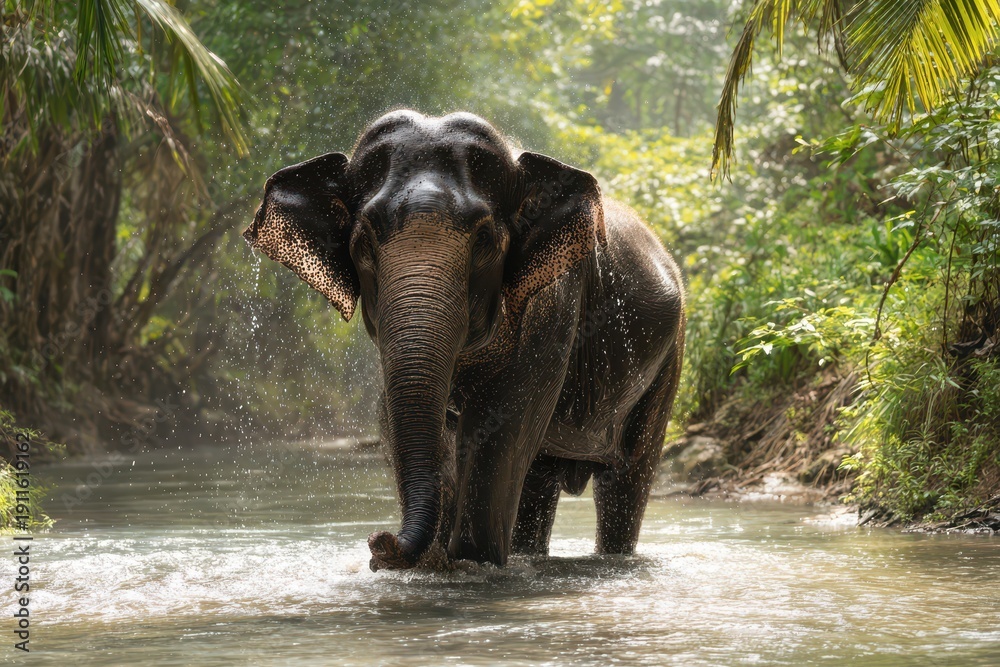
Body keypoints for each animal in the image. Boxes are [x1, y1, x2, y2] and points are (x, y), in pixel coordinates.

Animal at [243, 110, 685, 570]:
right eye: (363, 241)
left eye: (485, 241)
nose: (378, 543)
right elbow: (397, 419)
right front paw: (435, 563)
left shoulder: (553, 305)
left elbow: (499, 423)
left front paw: (471, 562)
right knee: (538, 481)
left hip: (669, 359)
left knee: (625, 478)